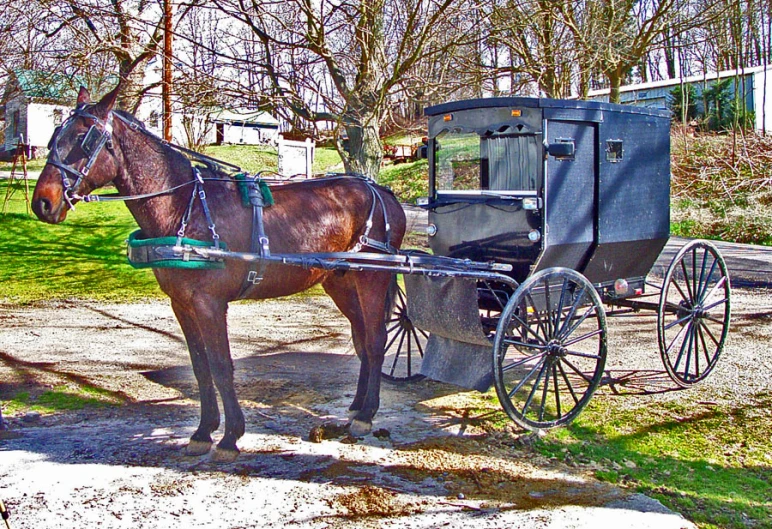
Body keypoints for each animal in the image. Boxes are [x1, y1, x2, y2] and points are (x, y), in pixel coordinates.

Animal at [31, 84, 404, 460]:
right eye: (54, 136)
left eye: (86, 139)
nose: (42, 203)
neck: (185, 208)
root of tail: (383, 192)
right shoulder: (182, 304)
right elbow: (200, 367)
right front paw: (203, 432)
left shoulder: (210, 304)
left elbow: (222, 366)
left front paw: (230, 436)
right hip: (341, 282)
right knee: (361, 338)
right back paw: (356, 407)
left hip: (372, 277)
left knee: (374, 340)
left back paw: (367, 414)